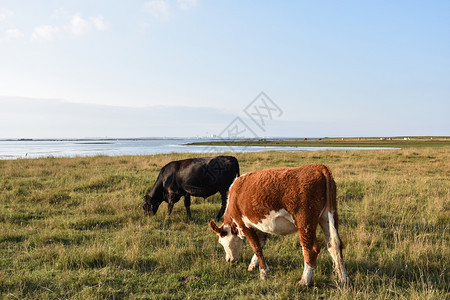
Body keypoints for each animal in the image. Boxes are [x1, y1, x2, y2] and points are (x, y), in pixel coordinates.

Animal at [209, 164, 350, 286]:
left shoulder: (244, 224)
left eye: (221, 242)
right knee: (334, 245)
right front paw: (254, 265)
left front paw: (264, 273)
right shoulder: (260, 225)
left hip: (305, 222)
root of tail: (317, 167)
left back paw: (304, 281)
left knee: (311, 249)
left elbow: (256, 247)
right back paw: (344, 280)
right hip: (328, 216)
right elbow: (260, 244)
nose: (229, 260)